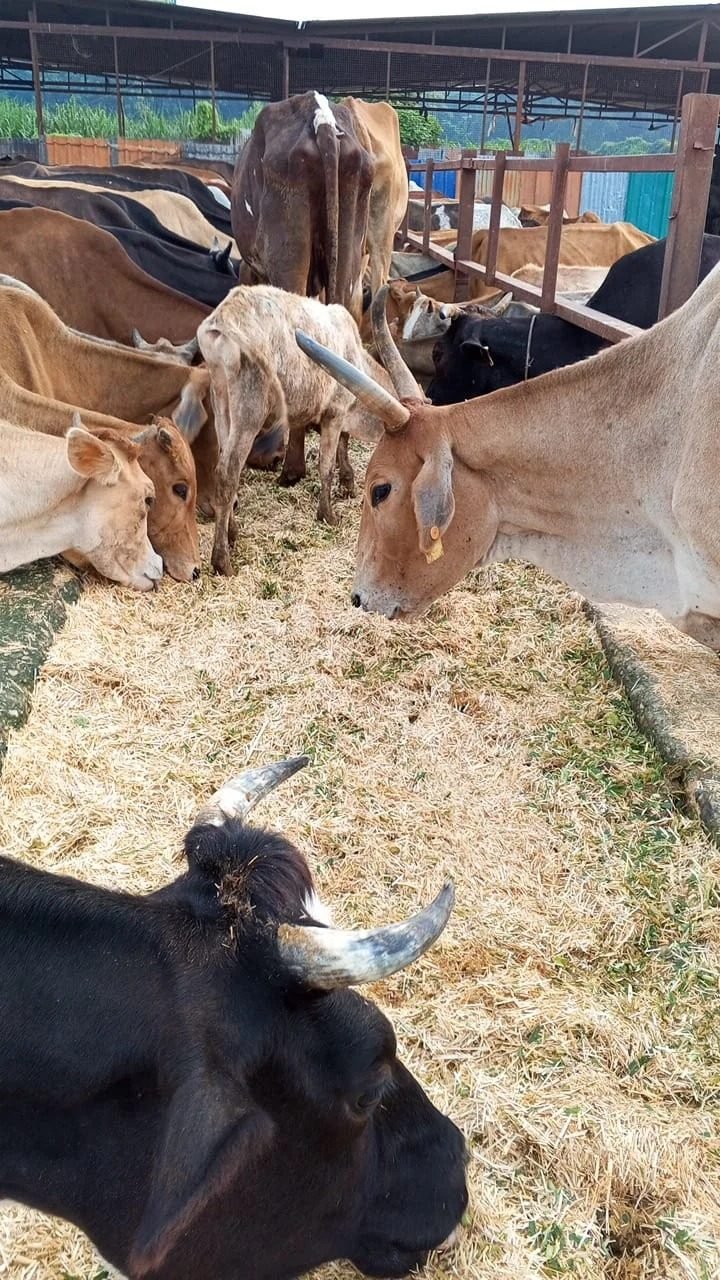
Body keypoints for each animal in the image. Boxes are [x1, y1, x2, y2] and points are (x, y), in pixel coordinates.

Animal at [198, 285, 393, 573]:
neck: (355, 357)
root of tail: (223, 316)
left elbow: (342, 445)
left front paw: (347, 483)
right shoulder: (334, 413)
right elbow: (326, 466)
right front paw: (328, 514)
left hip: (222, 400)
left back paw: (232, 533)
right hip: (250, 407)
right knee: (227, 474)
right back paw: (222, 560)